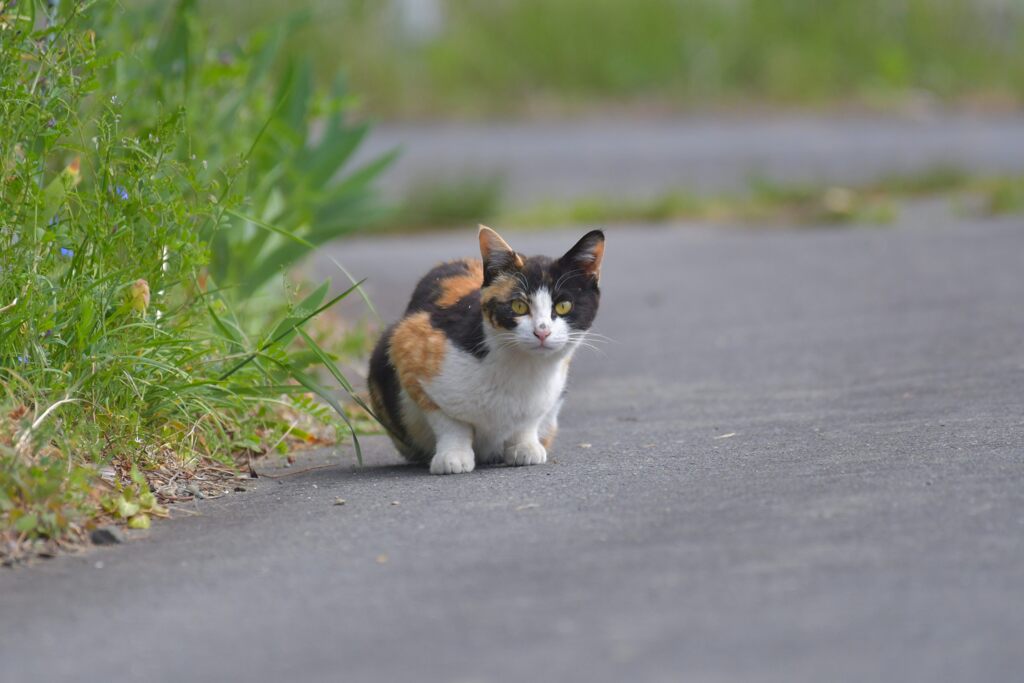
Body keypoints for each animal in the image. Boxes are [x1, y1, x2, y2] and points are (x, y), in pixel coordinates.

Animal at [368, 227, 602, 473]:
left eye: (563, 306)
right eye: (519, 306)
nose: (542, 332)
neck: (521, 368)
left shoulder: (550, 392)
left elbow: (528, 420)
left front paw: (525, 446)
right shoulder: (408, 344)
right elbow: (449, 422)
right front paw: (453, 455)